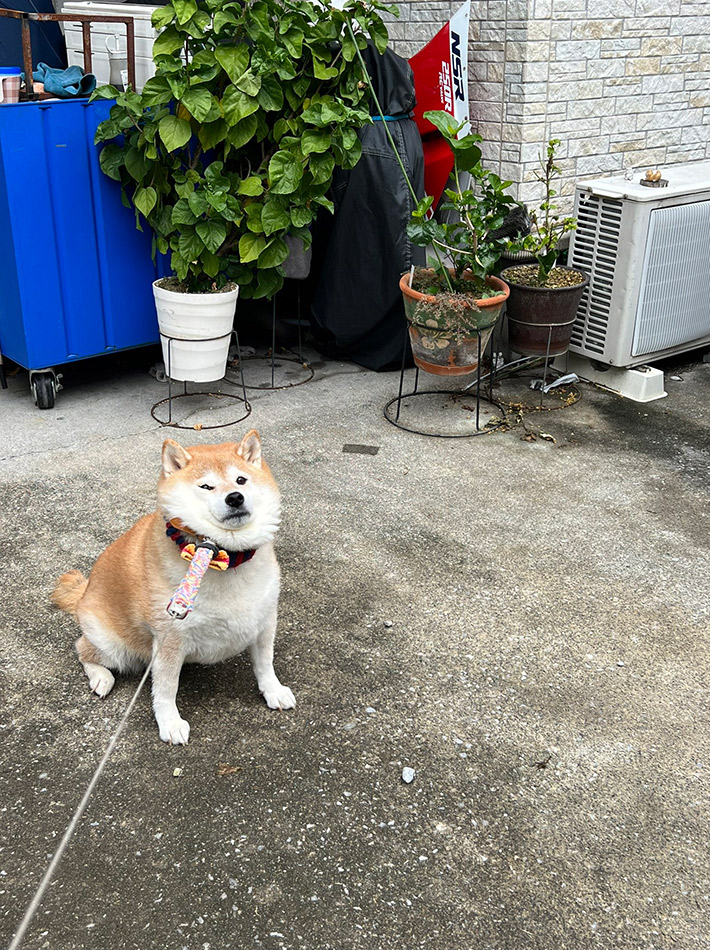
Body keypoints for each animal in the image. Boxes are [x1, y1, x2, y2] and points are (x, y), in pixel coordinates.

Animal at [50, 436, 294, 748]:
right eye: (206, 486)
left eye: (241, 480)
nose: (235, 497)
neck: (222, 558)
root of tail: (85, 592)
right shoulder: (169, 638)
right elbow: (166, 688)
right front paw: (169, 722)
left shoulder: (264, 620)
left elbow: (265, 663)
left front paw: (273, 690)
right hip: (113, 644)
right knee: (83, 650)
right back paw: (101, 677)